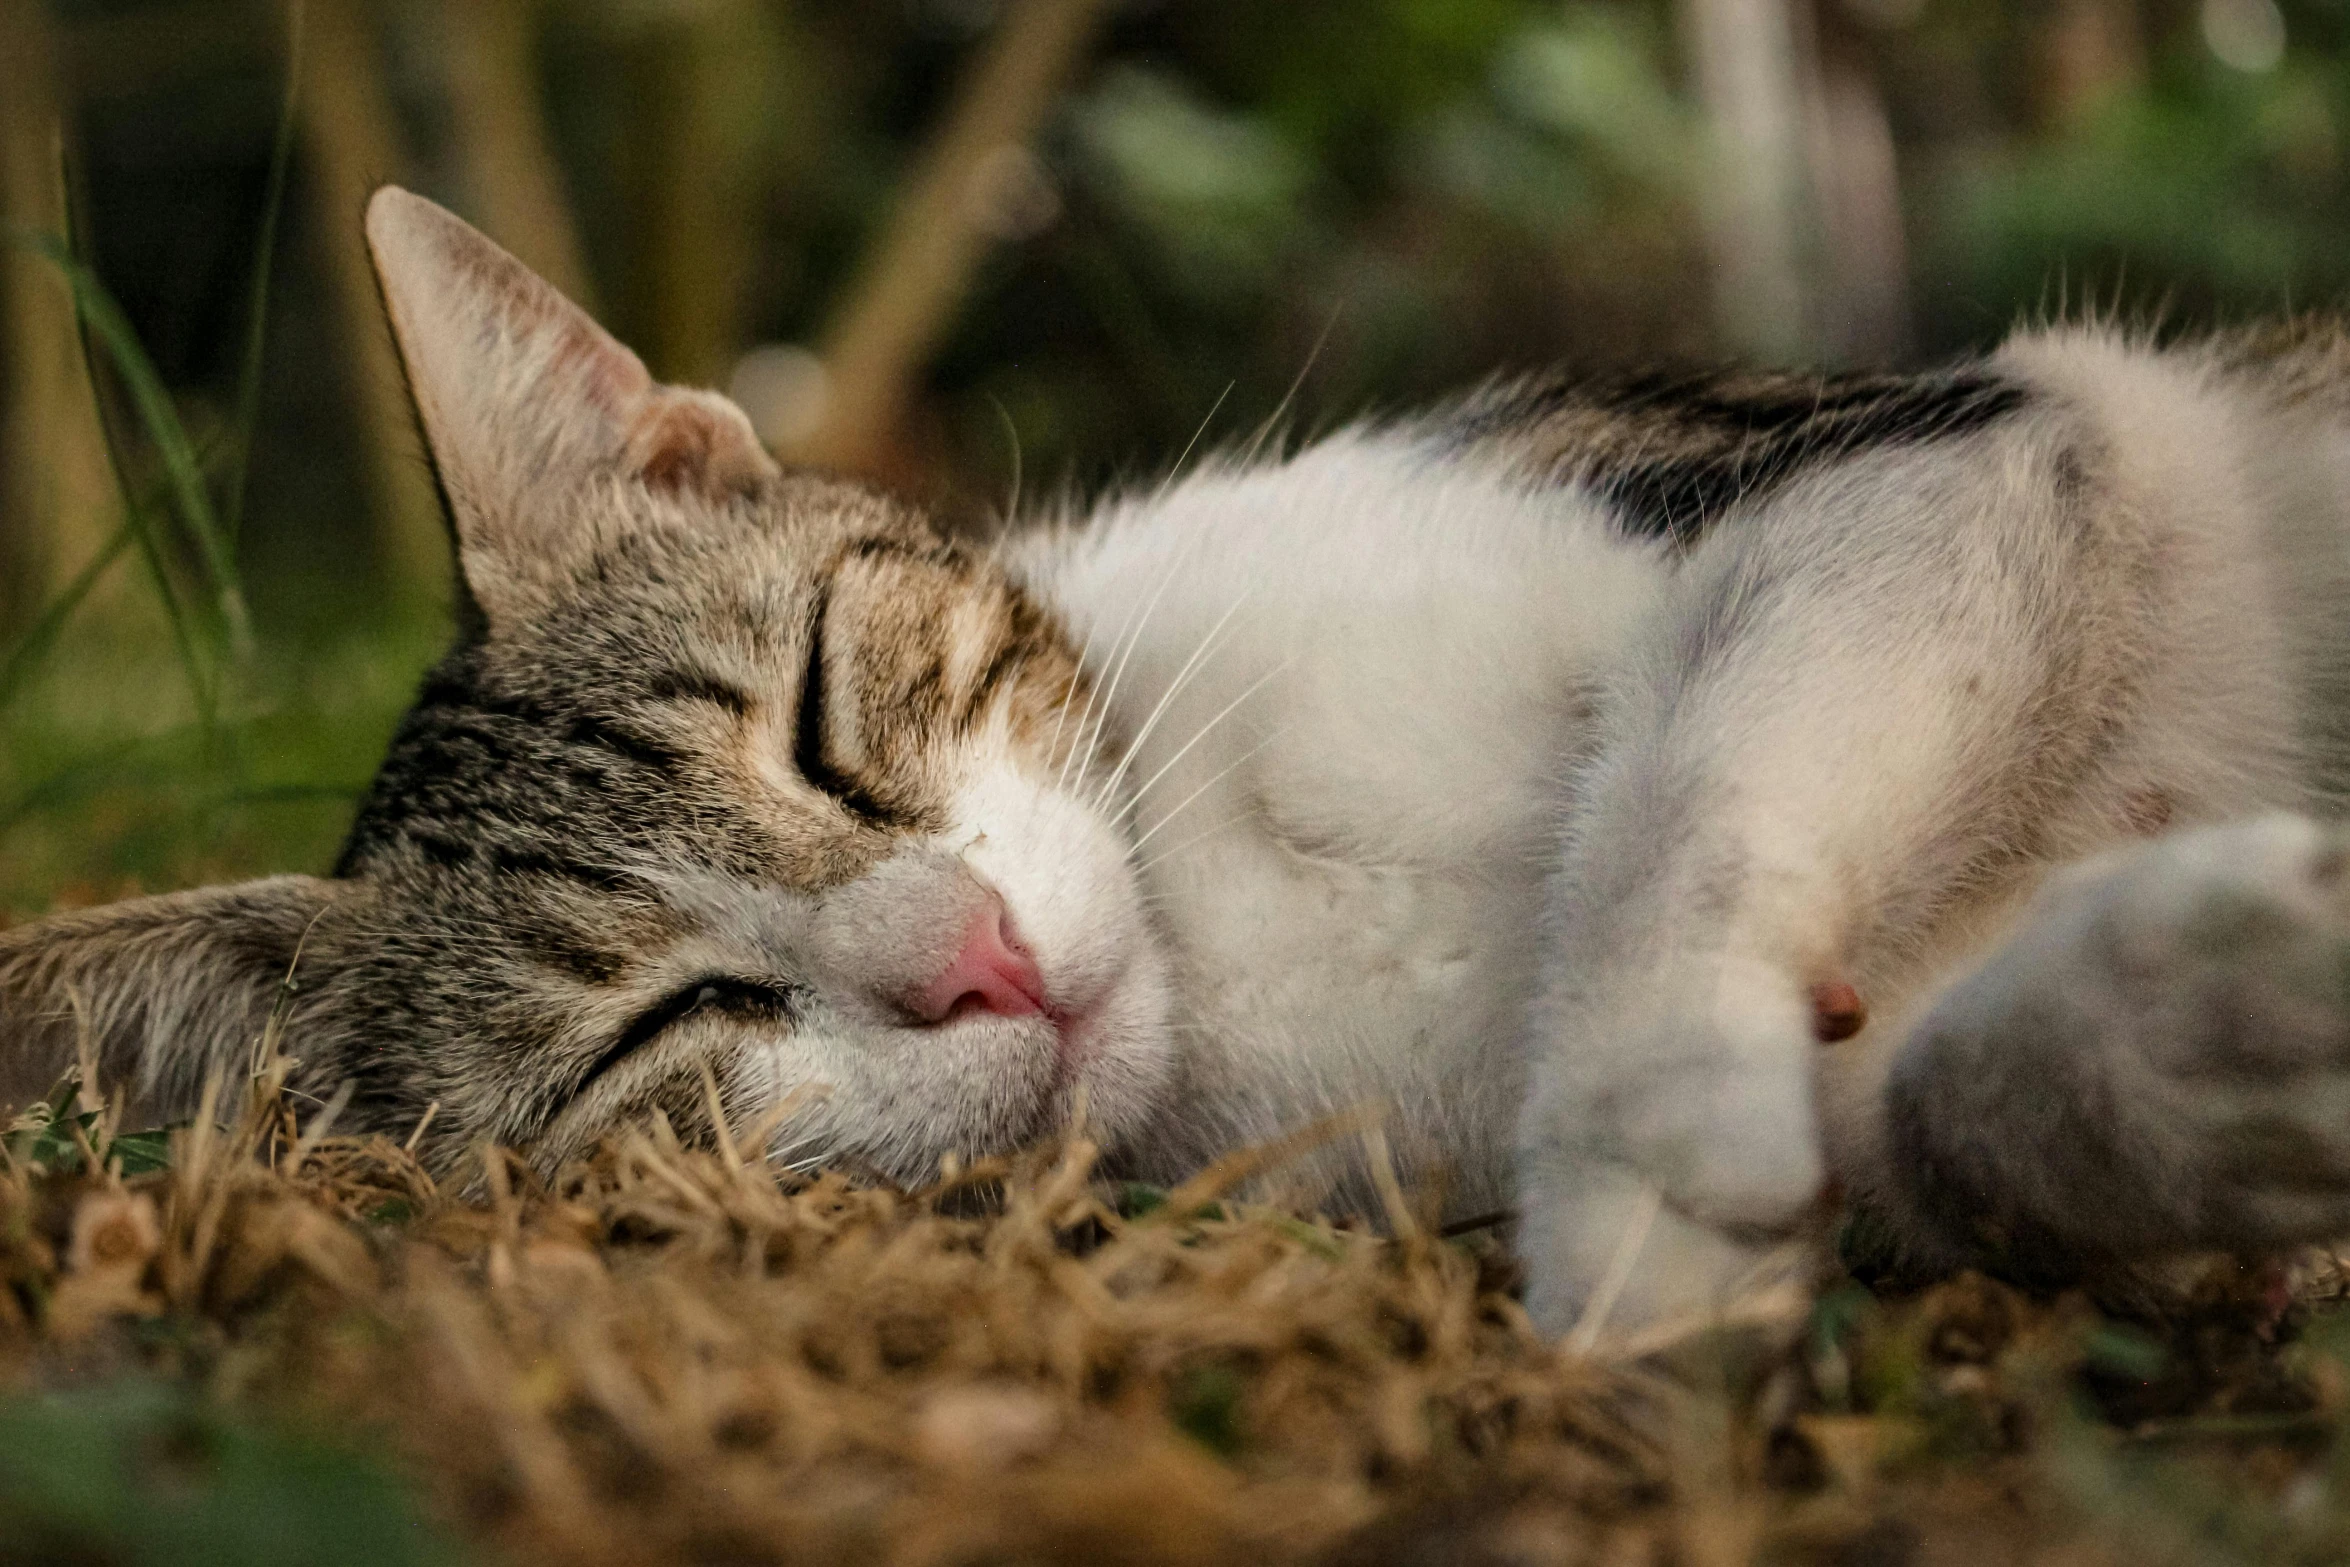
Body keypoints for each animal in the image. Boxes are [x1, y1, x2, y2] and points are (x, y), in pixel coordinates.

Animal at [4, 186, 2350, 1334]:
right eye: (672, 1023)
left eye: (825, 719)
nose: (973, 960)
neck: (1226, 940)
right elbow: (1941, 1102)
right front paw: (2207, 1039)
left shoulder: (1978, 451)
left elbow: (1683, 805)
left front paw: (1646, 1181)